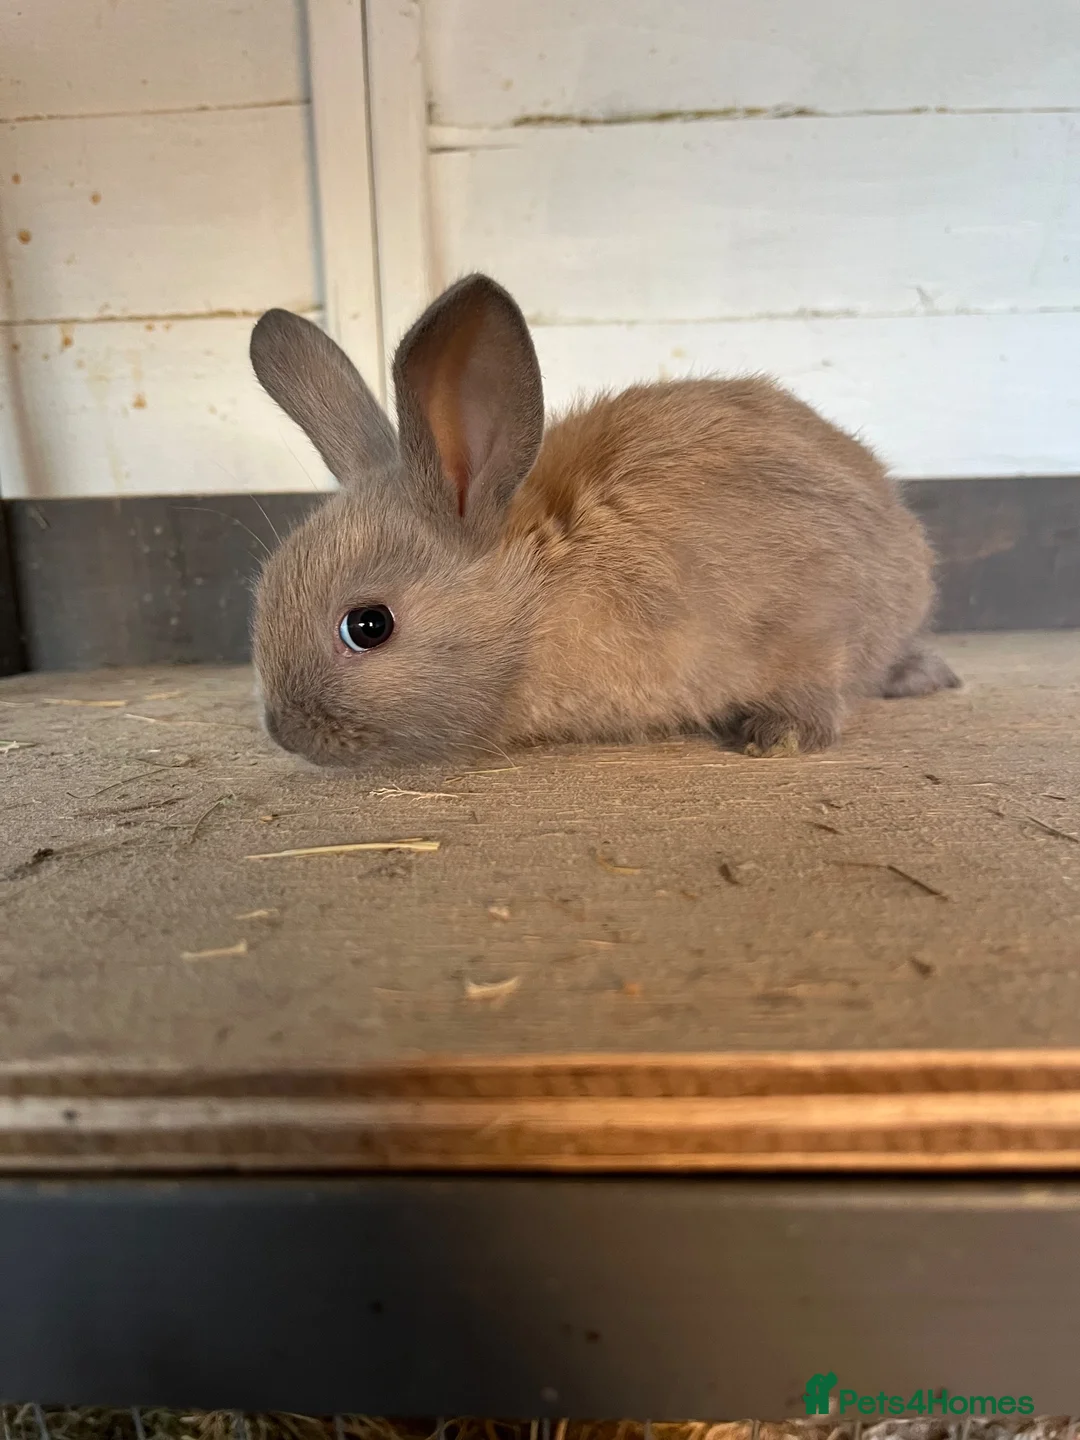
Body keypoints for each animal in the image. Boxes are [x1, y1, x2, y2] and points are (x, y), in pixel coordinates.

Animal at [249, 272, 959, 768]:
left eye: (368, 626)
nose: (284, 731)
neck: (538, 598)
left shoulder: (813, 614)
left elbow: (819, 682)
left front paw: (778, 737)